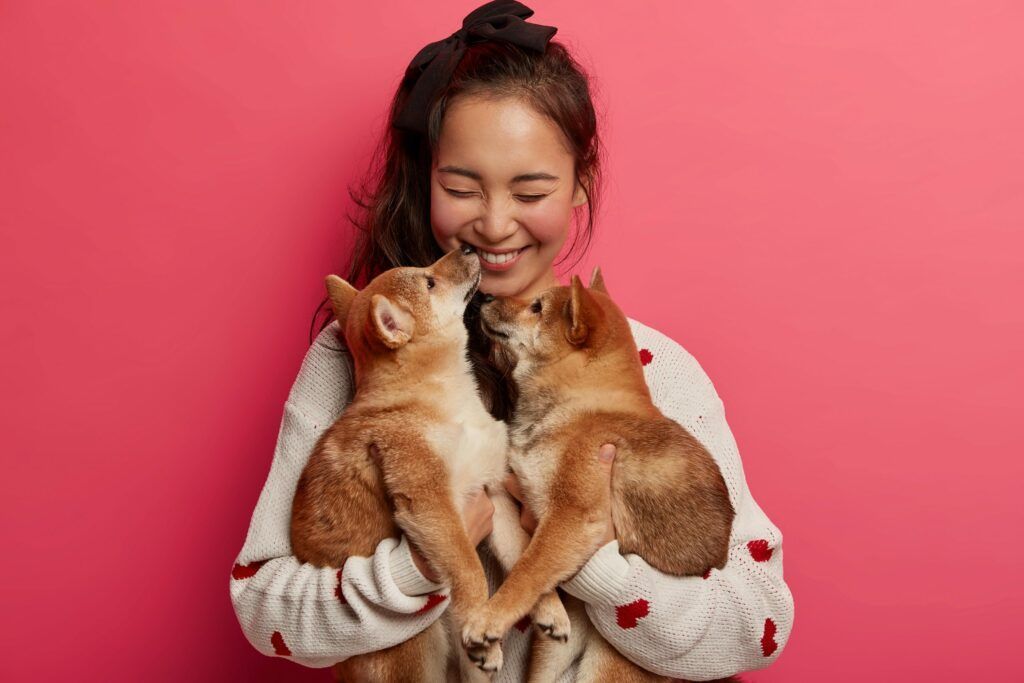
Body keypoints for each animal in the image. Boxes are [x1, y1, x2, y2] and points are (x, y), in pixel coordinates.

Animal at [464, 268, 737, 683]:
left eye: (536, 307)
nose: (484, 297)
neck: (579, 403)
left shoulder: (570, 517)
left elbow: (527, 571)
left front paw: (489, 618)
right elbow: (522, 559)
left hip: (608, 669)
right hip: (550, 656)